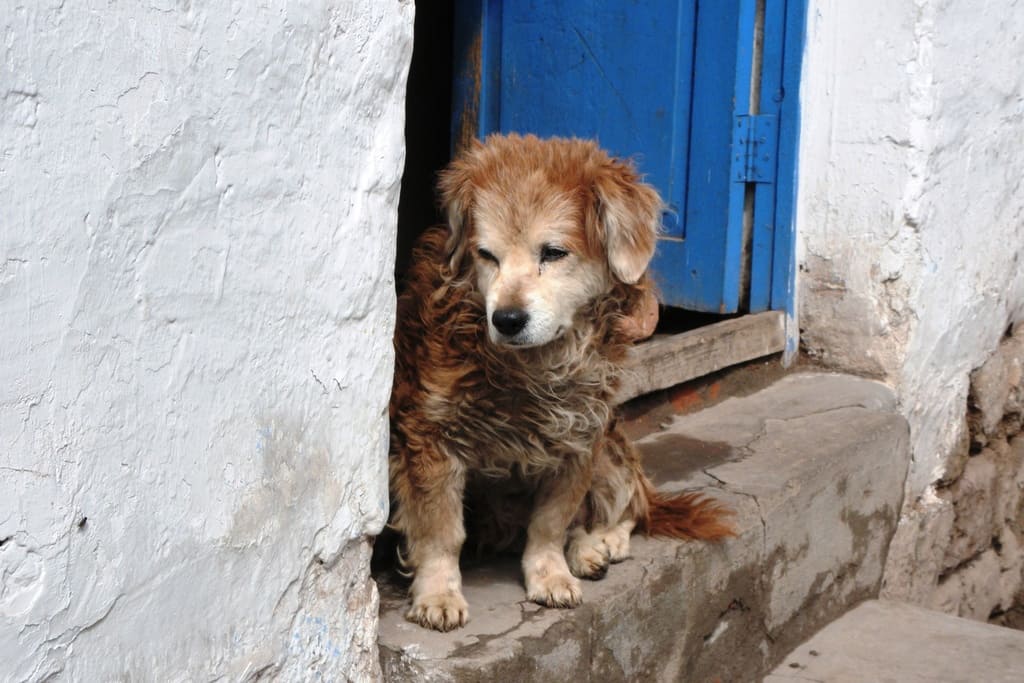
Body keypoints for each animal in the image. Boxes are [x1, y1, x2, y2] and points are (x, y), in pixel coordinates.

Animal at [387, 135, 733, 634]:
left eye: (552, 253)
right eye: (485, 255)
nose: (507, 319)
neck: (532, 366)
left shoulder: (580, 438)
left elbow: (551, 522)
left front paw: (549, 572)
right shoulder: (429, 437)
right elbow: (441, 531)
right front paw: (438, 591)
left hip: (612, 447)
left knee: (630, 506)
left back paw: (597, 544)